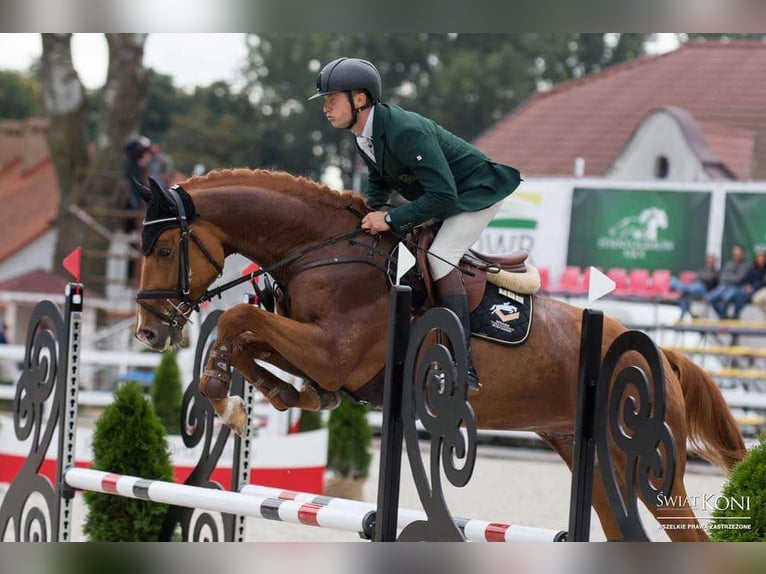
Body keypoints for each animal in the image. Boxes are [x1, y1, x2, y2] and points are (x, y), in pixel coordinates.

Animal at [135, 169, 748, 544]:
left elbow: (238, 320)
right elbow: (246, 337)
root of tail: (659, 353)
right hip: (590, 459)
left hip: (650, 470)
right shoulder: (310, 346)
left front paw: (229, 399)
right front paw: (279, 394)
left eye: (163, 250)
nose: (147, 332)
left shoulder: (333, 352)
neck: (322, 253)